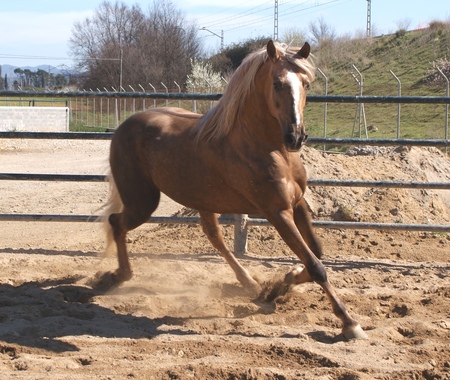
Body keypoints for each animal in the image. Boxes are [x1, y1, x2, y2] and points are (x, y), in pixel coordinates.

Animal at [100, 40, 368, 340]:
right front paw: (349, 323)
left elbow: (316, 254)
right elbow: (317, 266)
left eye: (306, 83)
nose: (296, 137)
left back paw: (251, 284)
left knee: (214, 238)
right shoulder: (277, 212)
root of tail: (124, 126)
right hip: (143, 202)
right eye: (277, 83)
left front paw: (284, 282)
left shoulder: (298, 204)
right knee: (116, 222)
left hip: (200, 200)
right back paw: (117, 276)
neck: (267, 148)